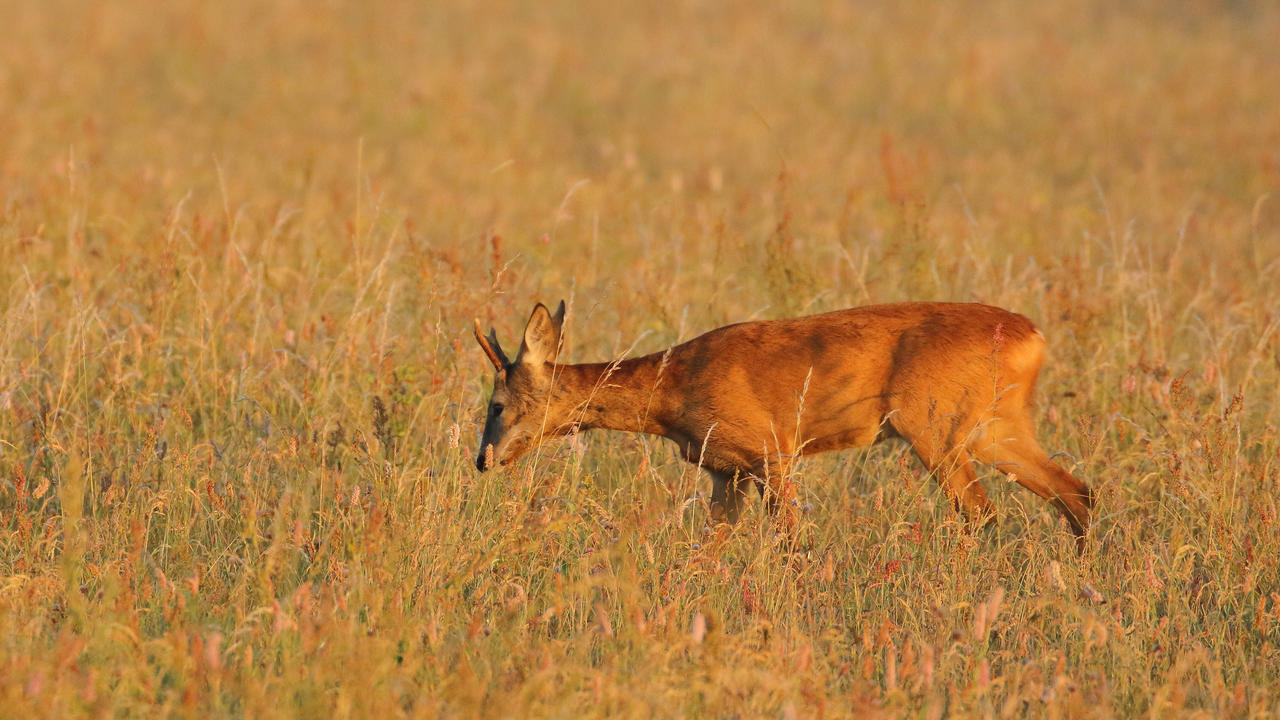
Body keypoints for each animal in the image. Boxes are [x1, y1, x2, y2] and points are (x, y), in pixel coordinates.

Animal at [476, 299, 1095, 540]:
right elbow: (709, 547)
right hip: (996, 427)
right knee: (1075, 491)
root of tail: (1033, 338)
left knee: (981, 513)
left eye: (495, 404)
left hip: (934, 427)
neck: (674, 390)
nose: (482, 459)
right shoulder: (725, 471)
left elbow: (791, 542)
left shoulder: (771, 452)